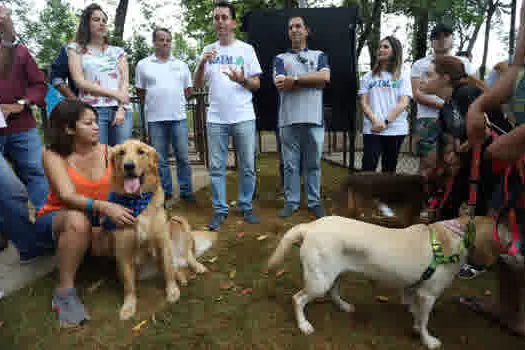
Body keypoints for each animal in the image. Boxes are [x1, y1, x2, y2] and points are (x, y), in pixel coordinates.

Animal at [107, 139, 179, 320]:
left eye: (141, 152)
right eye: (121, 153)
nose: (128, 166)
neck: (137, 201)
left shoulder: (163, 242)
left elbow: (168, 270)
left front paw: (172, 290)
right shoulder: (123, 251)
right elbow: (129, 286)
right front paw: (128, 306)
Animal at [268, 215, 502, 348]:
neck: (456, 236)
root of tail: (311, 226)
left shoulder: (416, 291)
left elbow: (416, 313)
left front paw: (415, 324)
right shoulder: (428, 295)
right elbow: (425, 321)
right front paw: (427, 340)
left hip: (334, 273)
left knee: (333, 291)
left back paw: (343, 306)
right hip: (319, 281)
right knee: (297, 299)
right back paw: (304, 325)